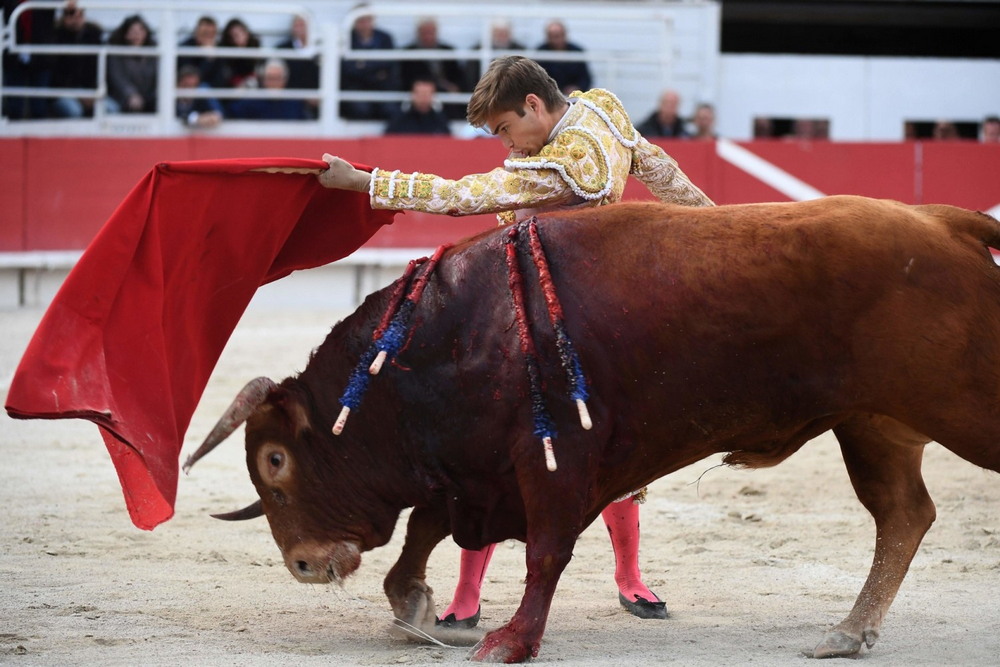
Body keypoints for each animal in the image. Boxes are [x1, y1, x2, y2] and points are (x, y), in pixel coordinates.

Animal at [184, 197, 1000, 664]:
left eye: (277, 460)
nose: (304, 564)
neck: (447, 332)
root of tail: (946, 221)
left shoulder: (551, 461)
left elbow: (544, 549)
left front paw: (509, 641)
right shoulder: (474, 468)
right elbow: (429, 527)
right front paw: (419, 605)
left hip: (960, 403)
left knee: (908, 511)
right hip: (875, 424)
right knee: (904, 514)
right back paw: (849, 632)